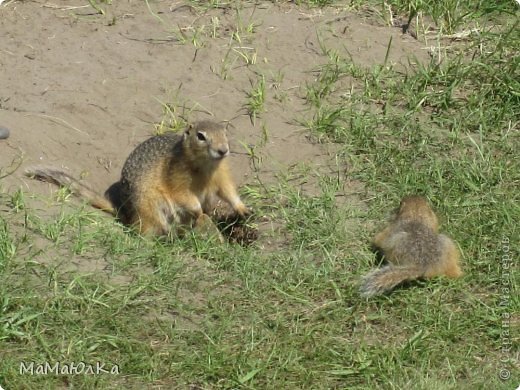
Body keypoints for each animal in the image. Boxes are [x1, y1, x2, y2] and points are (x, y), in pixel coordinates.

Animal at [26, 119, 250, 235]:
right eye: (201, 136)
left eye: (225, 133)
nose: (223, 150)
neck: (207, 166)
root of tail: (126, 212)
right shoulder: (177, 176)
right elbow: (183, 195)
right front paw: (198, 210)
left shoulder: (221, 175)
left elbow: (228, 191)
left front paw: (243, 209)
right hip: (151, 204)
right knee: (146, 230)